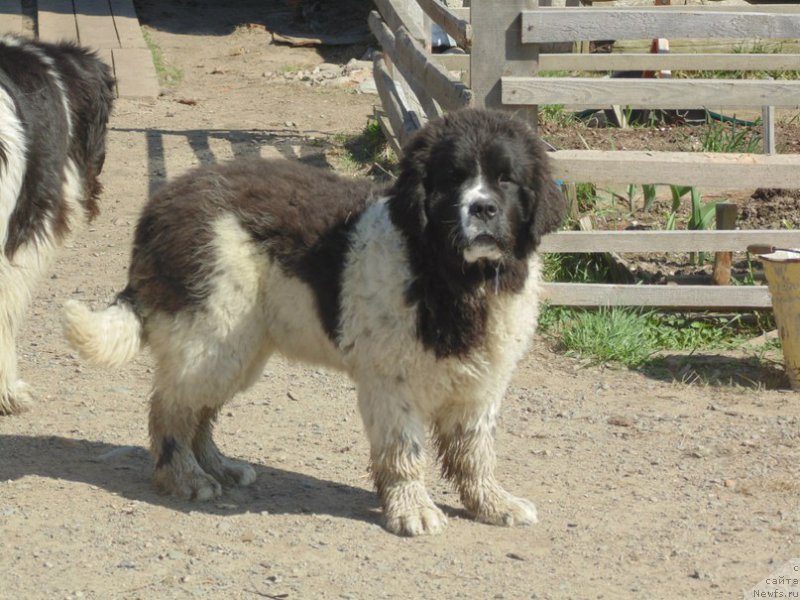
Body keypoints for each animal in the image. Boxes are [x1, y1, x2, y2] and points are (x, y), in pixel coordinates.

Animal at [62, 108, 564, 536]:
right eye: (453, 179)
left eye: (506, 179)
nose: (482, 209)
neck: (451, 276)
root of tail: (161, 204)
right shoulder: (391, 382)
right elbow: (404, 452)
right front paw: (412, 511)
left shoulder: (481, 384)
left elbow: (476, 454)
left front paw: (492, 504)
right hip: (209, 332)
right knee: (170, 411)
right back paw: (185, 477)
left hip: (237, 347)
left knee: (198, 410)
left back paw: (219, 466)